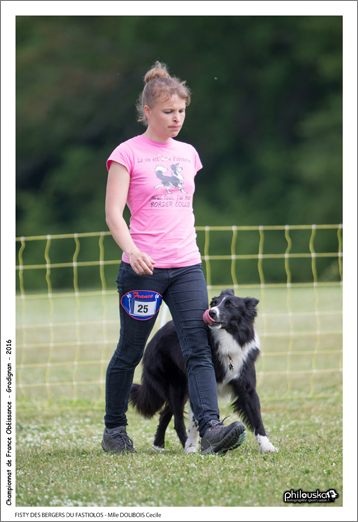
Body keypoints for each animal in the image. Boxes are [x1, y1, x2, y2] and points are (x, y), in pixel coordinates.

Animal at [130, 288, 278, 450]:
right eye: (213, 303)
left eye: (230, 305)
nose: (211, 312)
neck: (227, 340)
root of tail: (154, 336)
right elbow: (194, 421)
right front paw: (192, 447)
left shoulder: (247, 388)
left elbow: (257, 419)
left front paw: (267, 446)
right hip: (176, 388)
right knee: (177, 420)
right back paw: (184, 445)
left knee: (165, 414)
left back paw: (159, 445)